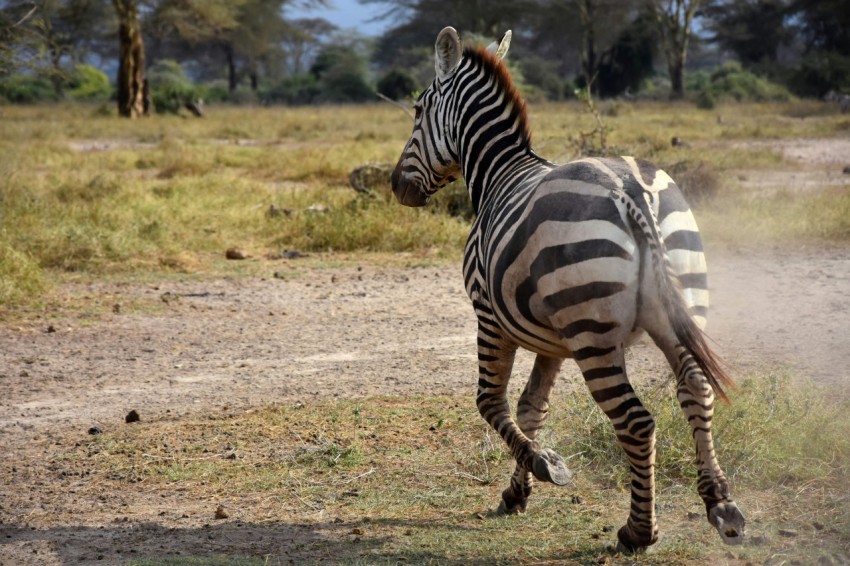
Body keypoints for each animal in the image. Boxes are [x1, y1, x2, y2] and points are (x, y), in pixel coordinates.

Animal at [388, 27, 744, 556]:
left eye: (417, 110)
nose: (397, 186)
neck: (499, 172)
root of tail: (630, 190)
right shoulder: (550, 340)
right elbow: (532, 407)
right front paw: (517, 492)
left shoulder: (489, 316)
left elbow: (490, 402)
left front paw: (543, 465)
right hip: (679, 305)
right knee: (696, 388)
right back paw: (720, 504)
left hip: (592, 332)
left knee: (636, 422)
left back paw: (639, 532)